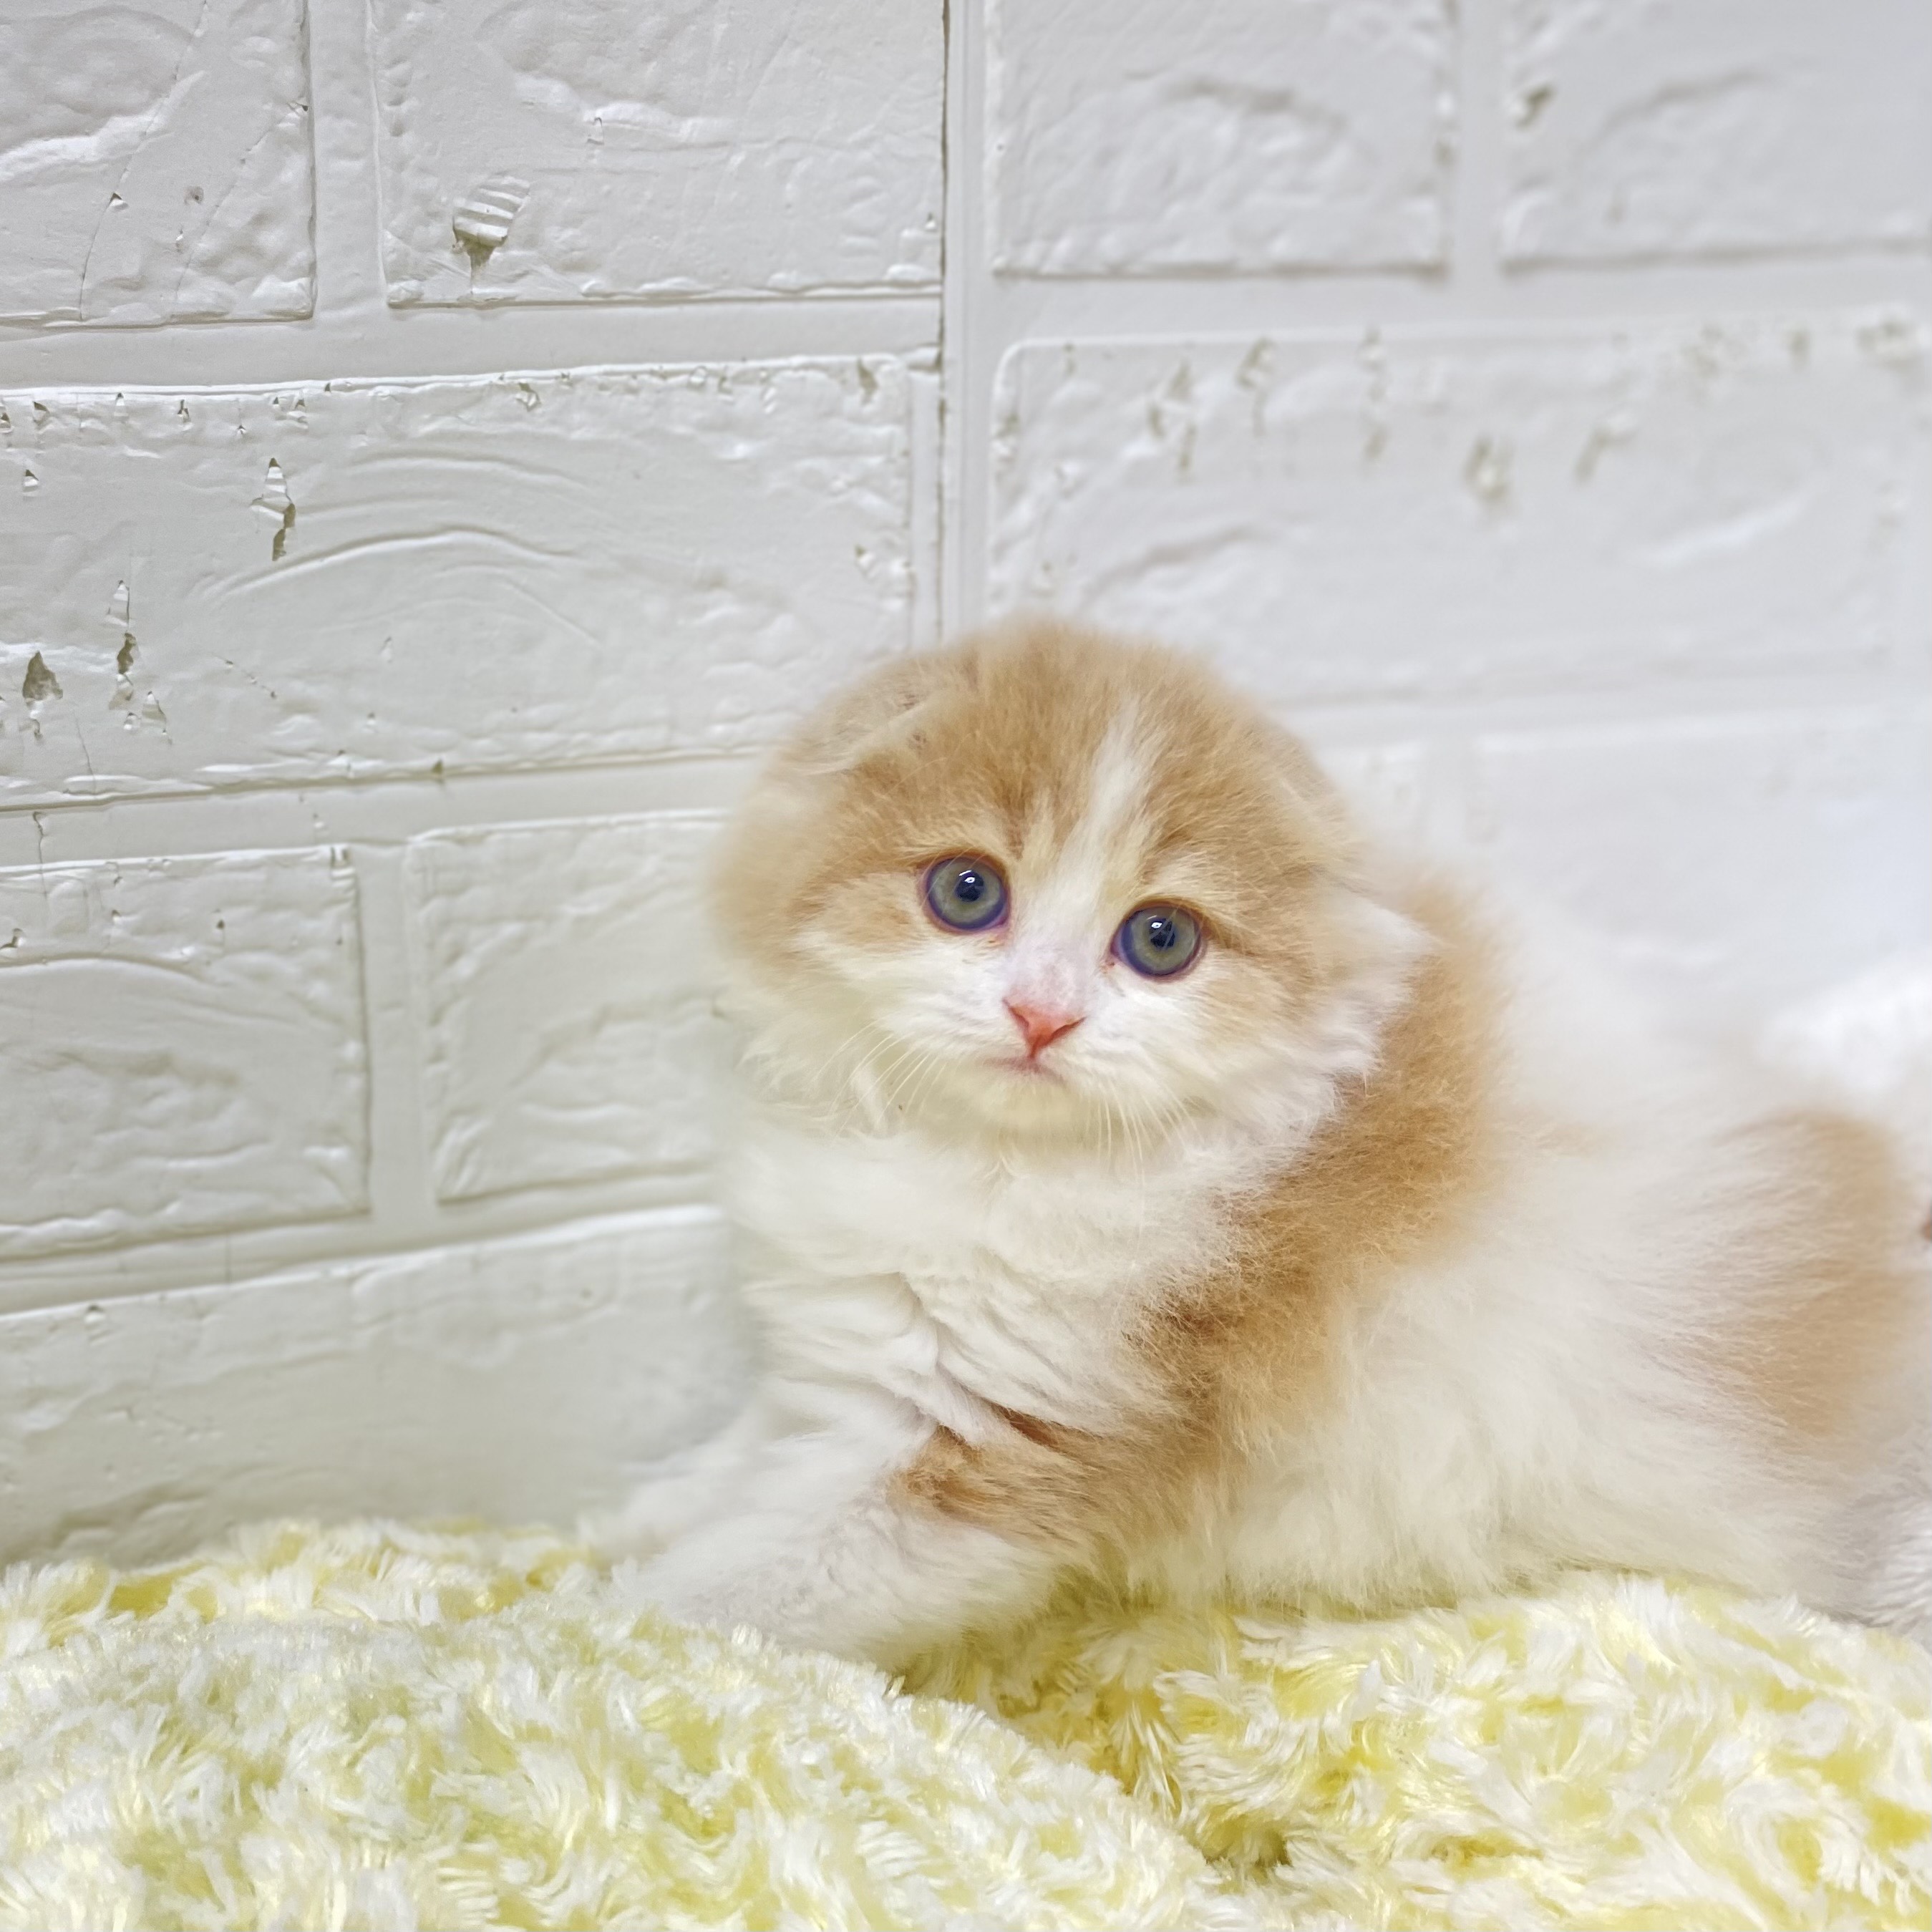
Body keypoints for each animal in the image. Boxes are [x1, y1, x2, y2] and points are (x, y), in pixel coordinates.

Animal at [589, 618, 1931, 1666]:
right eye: (966, 892)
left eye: (1159, 939)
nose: (1040, 1012)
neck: (990, 1159)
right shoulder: (855, 1339)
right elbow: (753, 1448)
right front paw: (642, 1511)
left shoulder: (992, 1443)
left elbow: (748, 1584)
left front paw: (608, 1634)